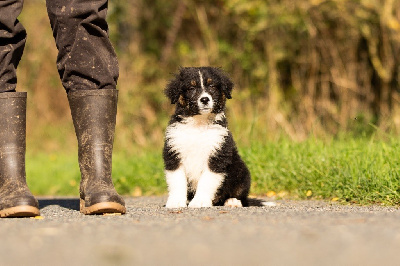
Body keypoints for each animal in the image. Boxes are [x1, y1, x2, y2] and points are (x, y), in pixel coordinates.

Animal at [162, 66, 250, 208]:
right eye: (191, 88)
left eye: (212, 86)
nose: (204, 99)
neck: (199, 124)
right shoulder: (174, 153)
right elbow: (177, 180)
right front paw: (176, 201)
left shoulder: (217, 155)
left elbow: (207, 181)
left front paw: (200, 201)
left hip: (241, 171)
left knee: (240, 194)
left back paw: (232, 201)